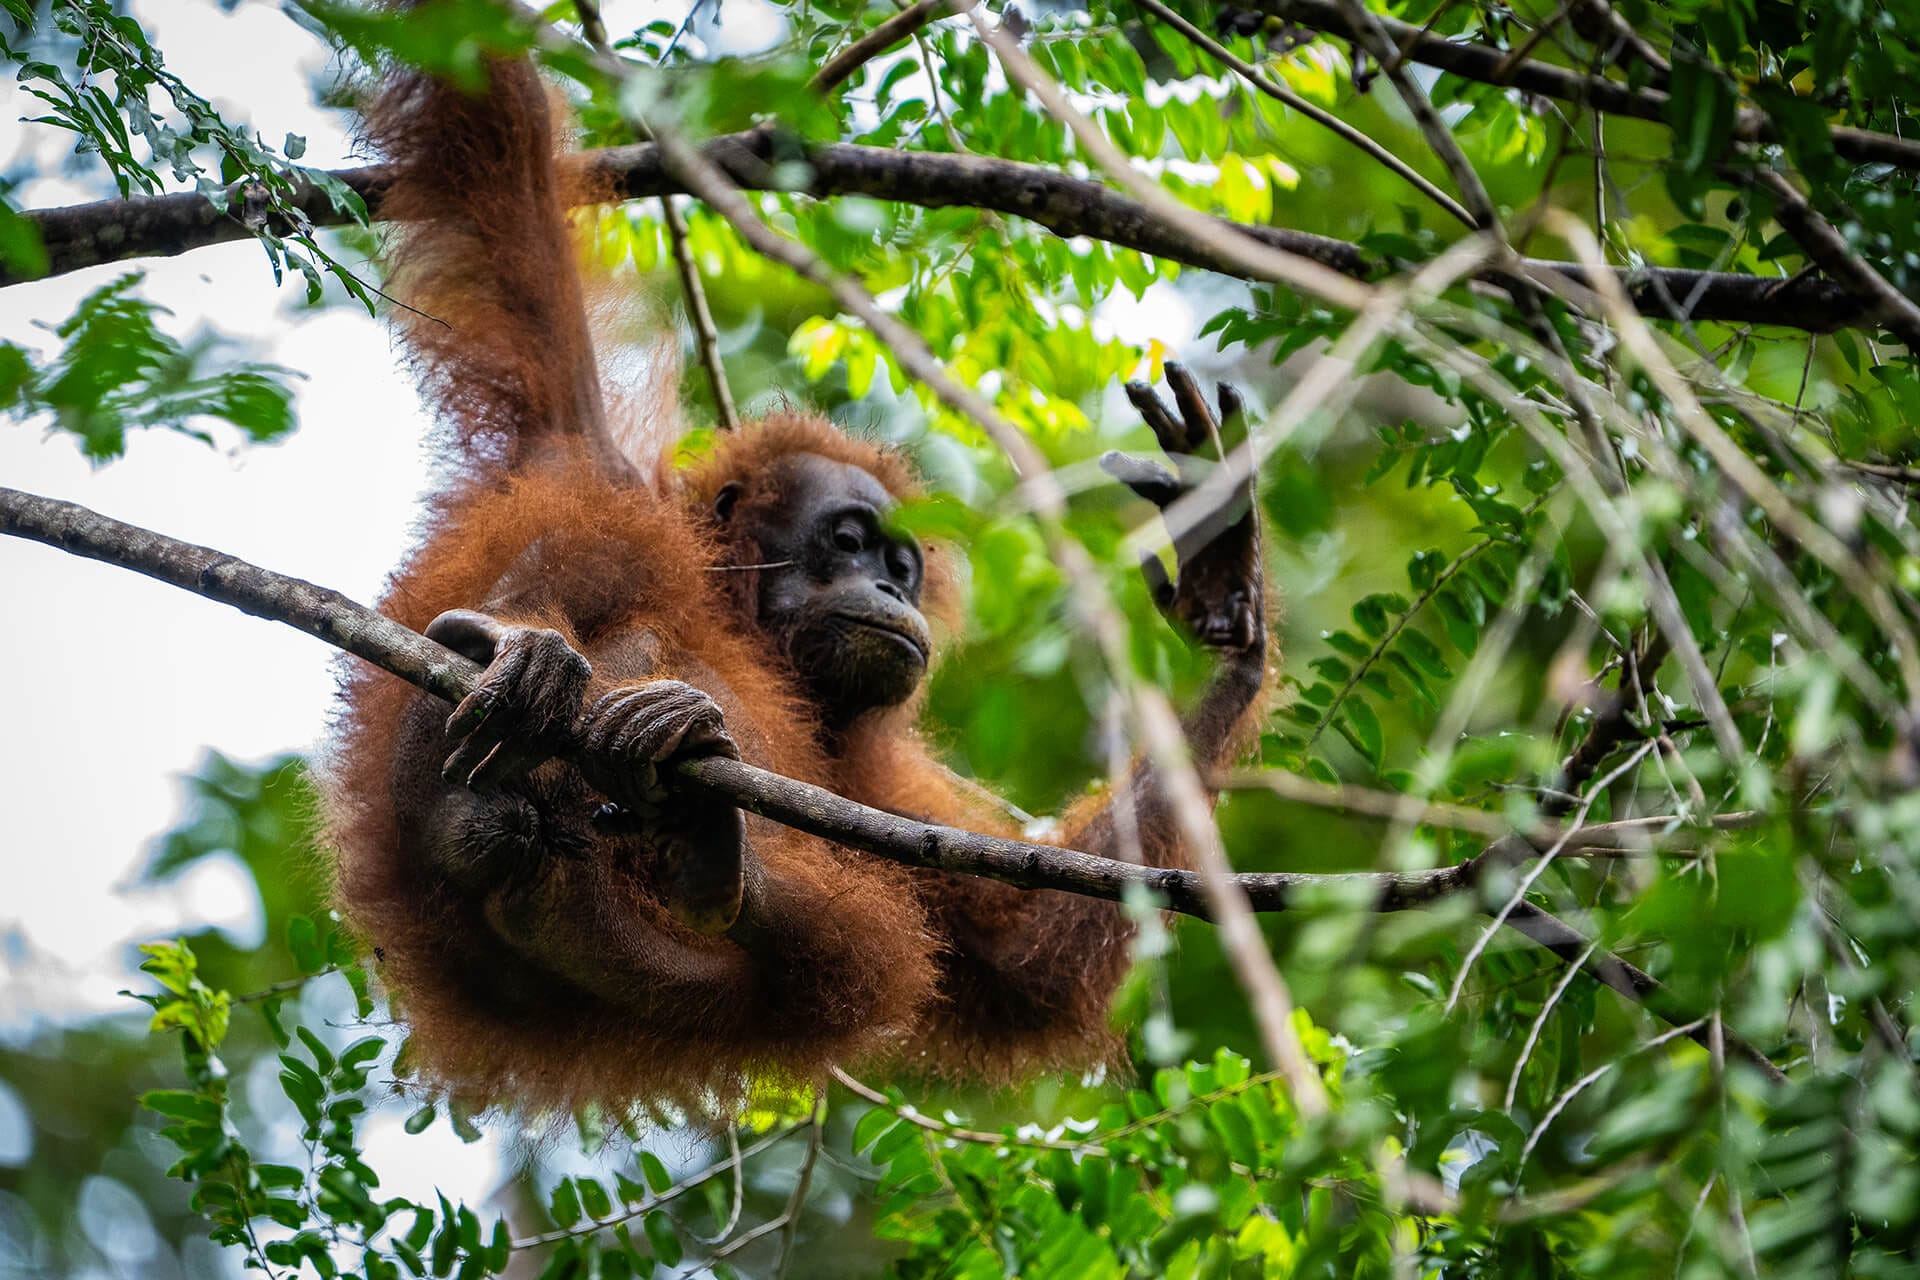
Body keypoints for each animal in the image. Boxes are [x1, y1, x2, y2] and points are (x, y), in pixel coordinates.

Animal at [324, 52, 1274, 1112]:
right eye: (850, 542)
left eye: (901, 565)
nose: (893, 593)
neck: (752, 632)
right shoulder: (593, 461)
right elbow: (505, 175)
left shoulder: (872, 779)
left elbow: (1018, 950)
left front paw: (1226, 611)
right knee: (592, 558)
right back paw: (503, 704)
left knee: (858, 952)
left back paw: (695, 849)